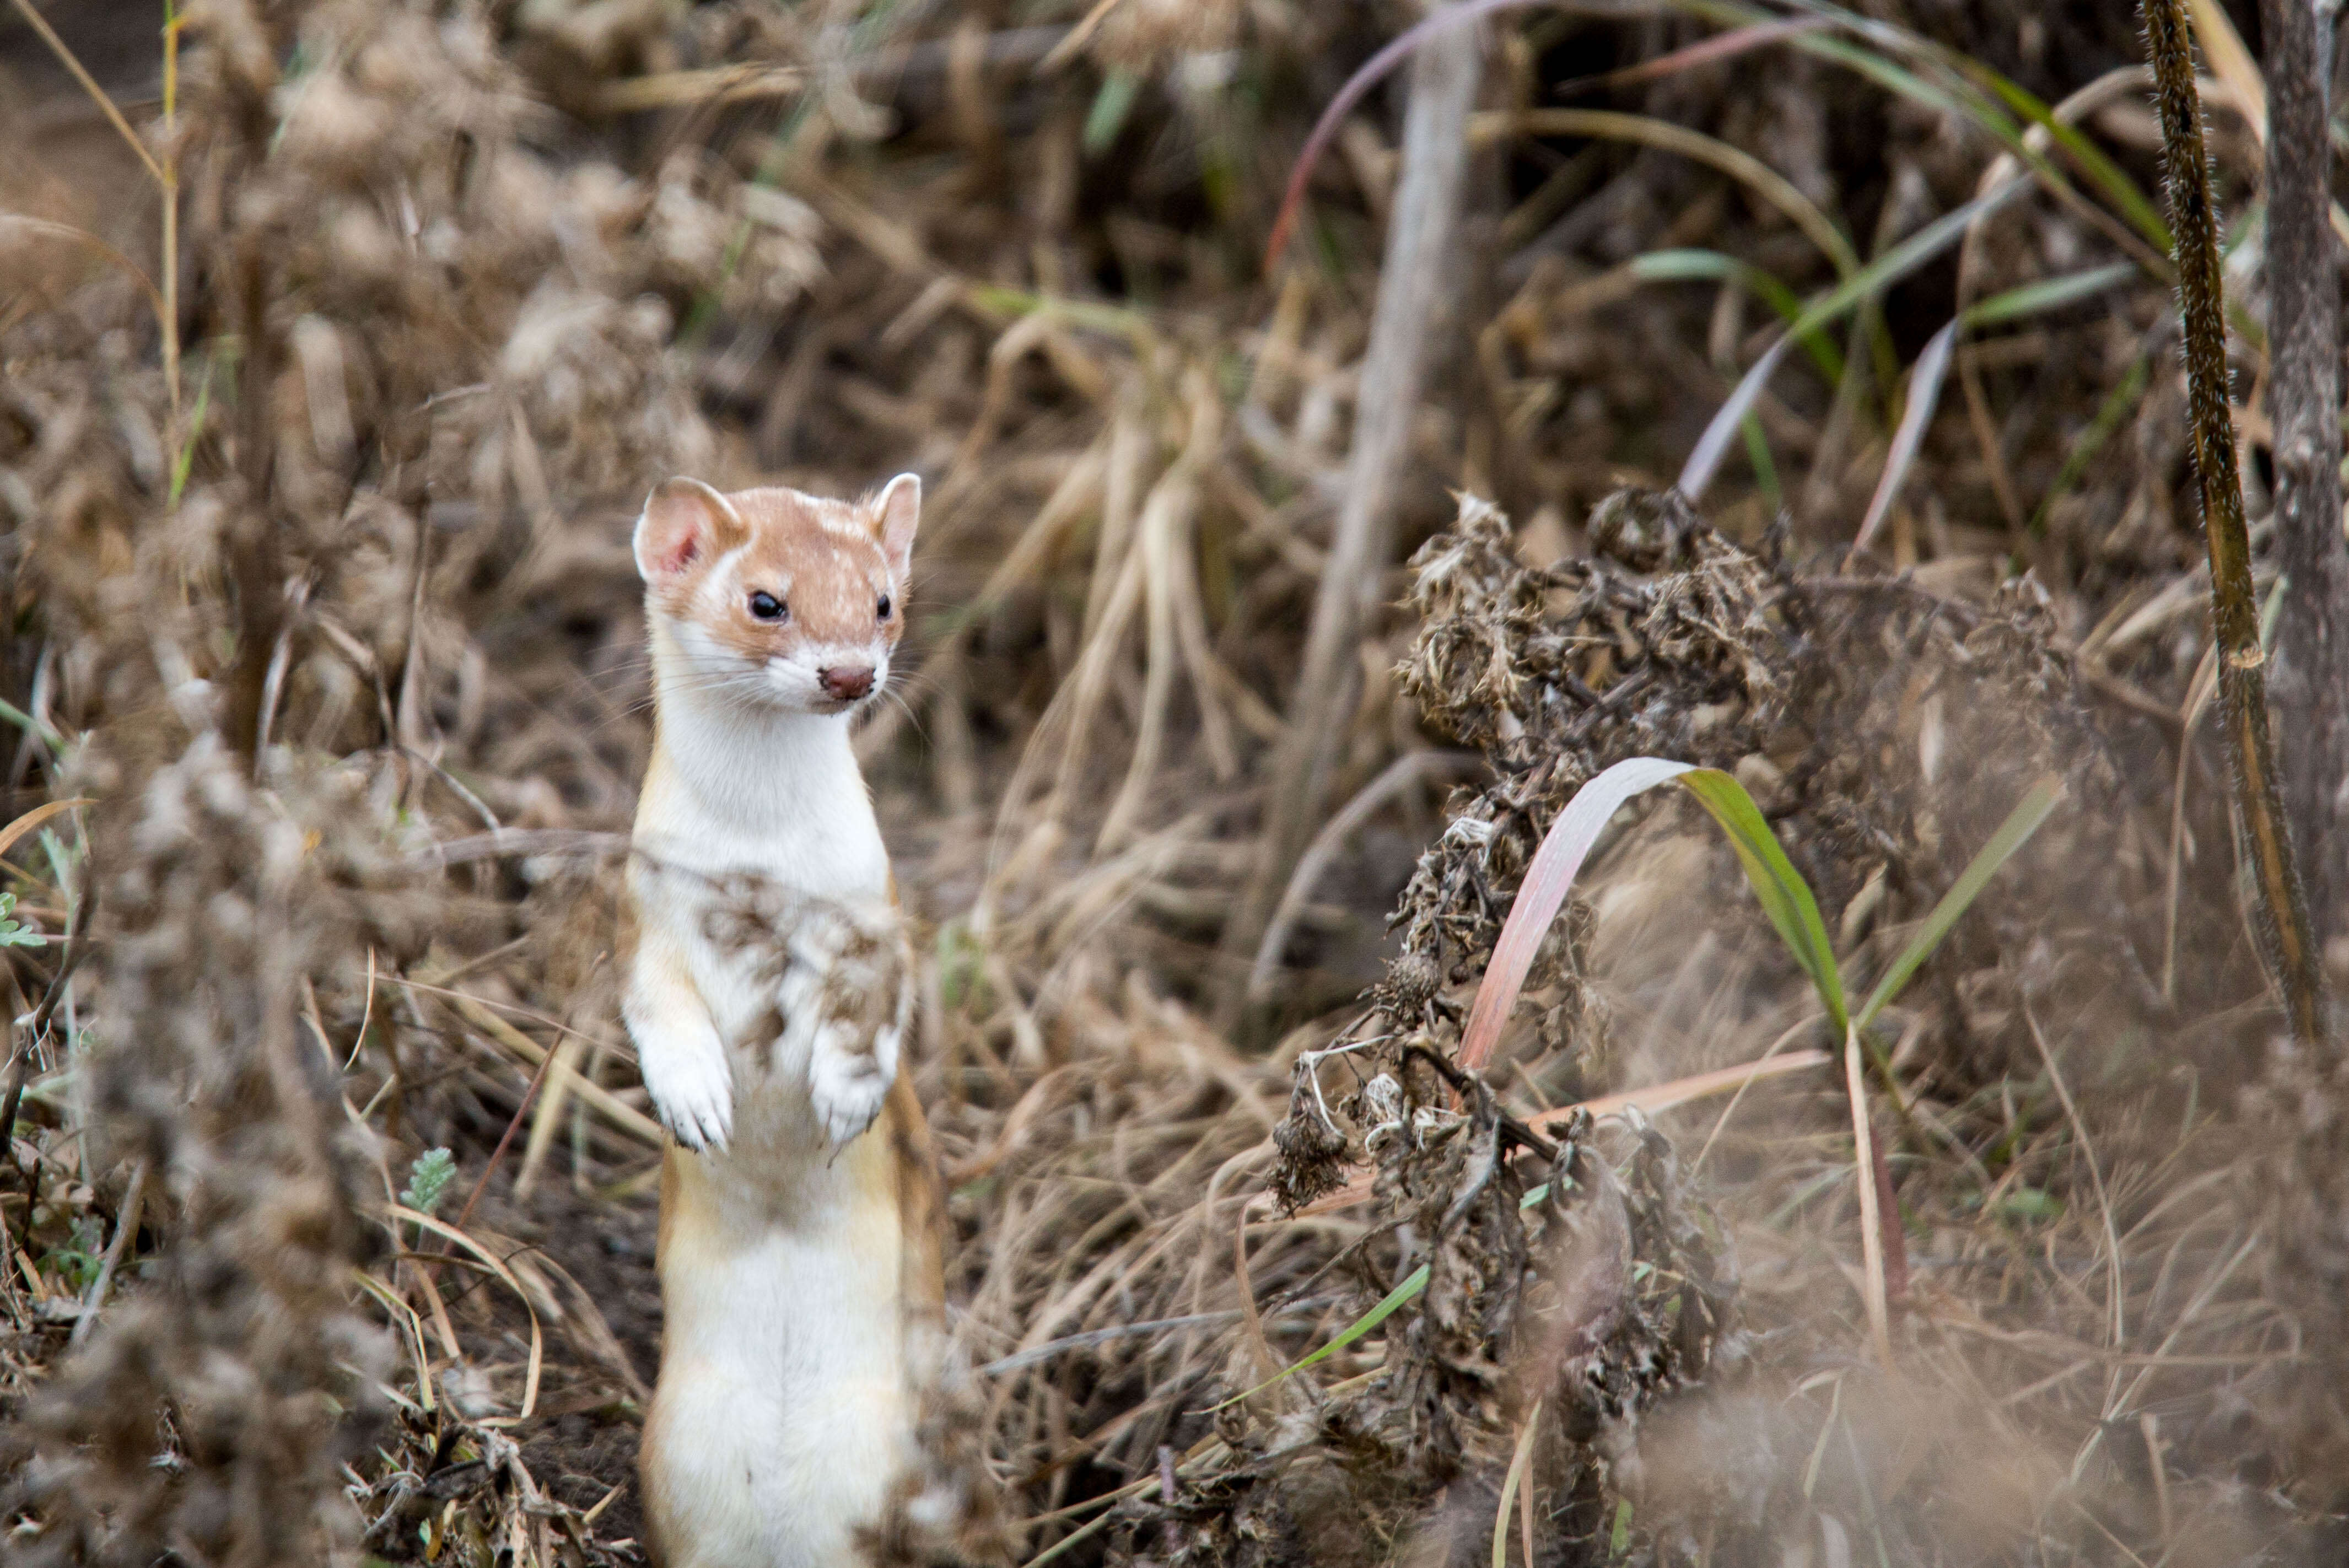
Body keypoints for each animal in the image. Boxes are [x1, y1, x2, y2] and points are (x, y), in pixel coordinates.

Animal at [629, 472, 949, 1568]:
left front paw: (846, 1092)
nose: (850, 672)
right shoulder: (649, 921)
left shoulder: (873, 910)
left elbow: (878, 1011)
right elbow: (656, 1011)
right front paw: (695, 1099)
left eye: (884, 599)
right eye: (765, 600)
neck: (760, 865)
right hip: (678, 1450)